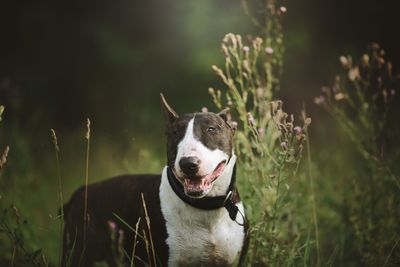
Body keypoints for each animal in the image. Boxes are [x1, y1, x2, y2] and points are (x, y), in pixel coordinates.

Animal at [61, 93, 248, 266]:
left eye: (211, 129)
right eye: (175, 132)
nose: (188, 164)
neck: (206, 208)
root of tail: (81, 191)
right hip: (77, 250)